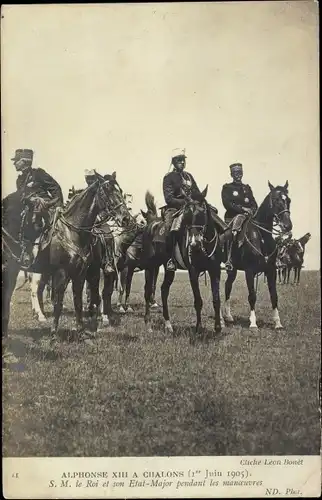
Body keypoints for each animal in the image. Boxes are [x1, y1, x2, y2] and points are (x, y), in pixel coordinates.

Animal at [140, 186, 225, 342]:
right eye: (186, 216)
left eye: (202, 212)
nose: (194, 244)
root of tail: (151, 224)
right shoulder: (193, 271)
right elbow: (198, 301)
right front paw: (198, 329)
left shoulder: (215, 270)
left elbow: (216, 300)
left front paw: (217, 329)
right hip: (150, 266)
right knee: (148, 291)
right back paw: (148, 324)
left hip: (168, 269)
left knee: (164, 290)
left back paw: (168, 325)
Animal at [223, 182, 294, 330]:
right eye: (277, 200)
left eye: (288, 200)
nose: (287, 226)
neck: (262, 237)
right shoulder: (249, 271)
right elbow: (252, 296)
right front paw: (253, 323)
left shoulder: (271, 271)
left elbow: (274, 296)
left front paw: (278, 323)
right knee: (227, 287)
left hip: (233, 270)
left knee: (227, 286)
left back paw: (228, 316)